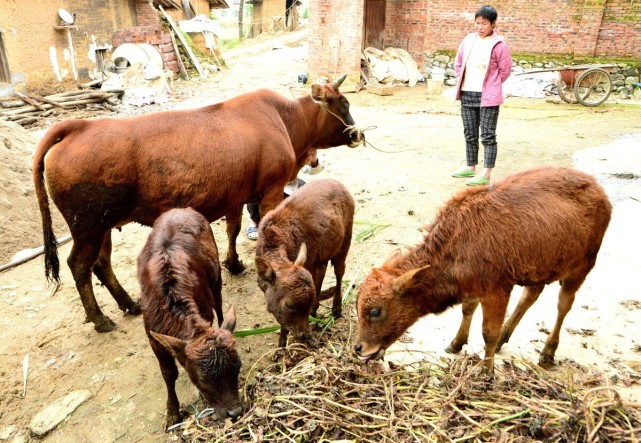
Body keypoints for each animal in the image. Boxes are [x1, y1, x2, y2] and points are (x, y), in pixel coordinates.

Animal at [136, 209, 241, 430]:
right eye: (202, 378)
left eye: (238, 367)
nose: (234, 413)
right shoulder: (153, 339)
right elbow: (169, 374)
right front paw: (172, 413)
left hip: (216, 276)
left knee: (219, 302)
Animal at [255, 179, 356, 348]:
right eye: (289, 305)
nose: (305, 335)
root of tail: (340, 184)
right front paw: (281, 343)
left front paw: (283, 342)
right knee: (323, 272)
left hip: (346, 238)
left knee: (339, 271)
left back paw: (336, 308)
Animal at [356, 168, 608, 376]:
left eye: (376, 311)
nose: (359, 347)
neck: (456, 240)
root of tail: (598, 190)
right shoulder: (474, 287)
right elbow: (467, 310)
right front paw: (456, 343)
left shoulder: (496, 290)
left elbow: (488, 332)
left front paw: (487, 372)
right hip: (539, 269)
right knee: (530, 296)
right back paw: (506, 337)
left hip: (581, 268)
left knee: (563, 305)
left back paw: (547, 353)